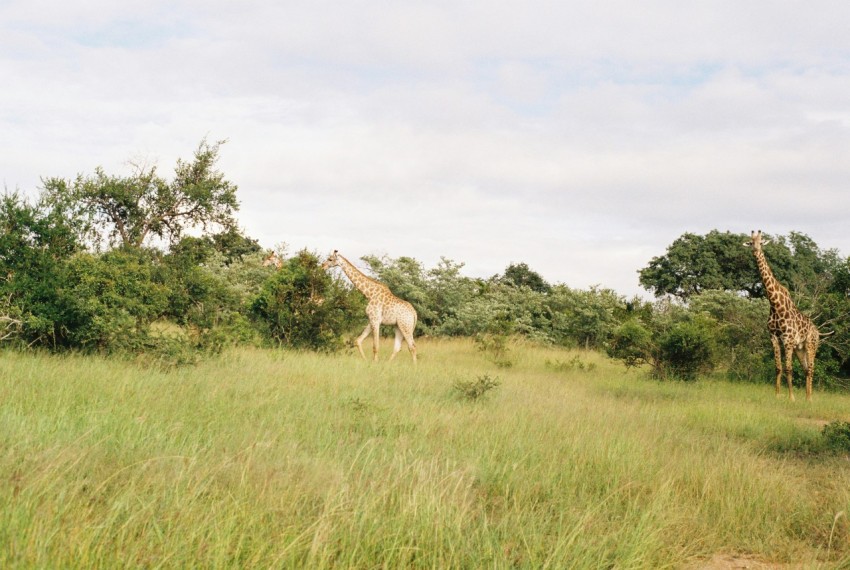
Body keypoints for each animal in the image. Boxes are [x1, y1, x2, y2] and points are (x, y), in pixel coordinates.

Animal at [745, 230, 821, 401]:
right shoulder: (774, 337)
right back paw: (806, 397)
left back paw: (810, 398)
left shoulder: (788, 339)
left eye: (761, 242)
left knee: (811, 368)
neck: (774, 304)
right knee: (806, 369)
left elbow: (788, 368)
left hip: (811, 344)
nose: (756, 250)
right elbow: (778, 367)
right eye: (751, 242)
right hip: (800, 348)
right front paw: (777, 394)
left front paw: (791, 397)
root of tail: (817, 331)